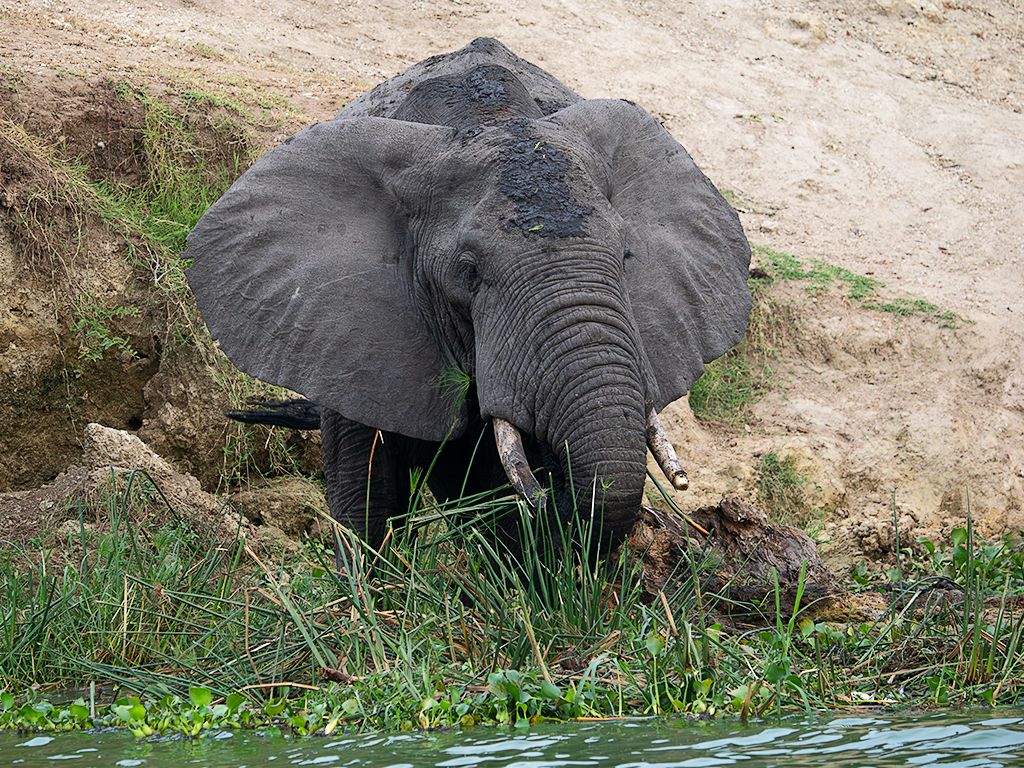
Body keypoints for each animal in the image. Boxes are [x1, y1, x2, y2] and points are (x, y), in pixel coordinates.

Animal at [184, 37, 751, 558]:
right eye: (468, 273)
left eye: (628, 256)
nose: (550, 497)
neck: (485, 116)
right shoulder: (347, 335)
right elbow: (366, 496)